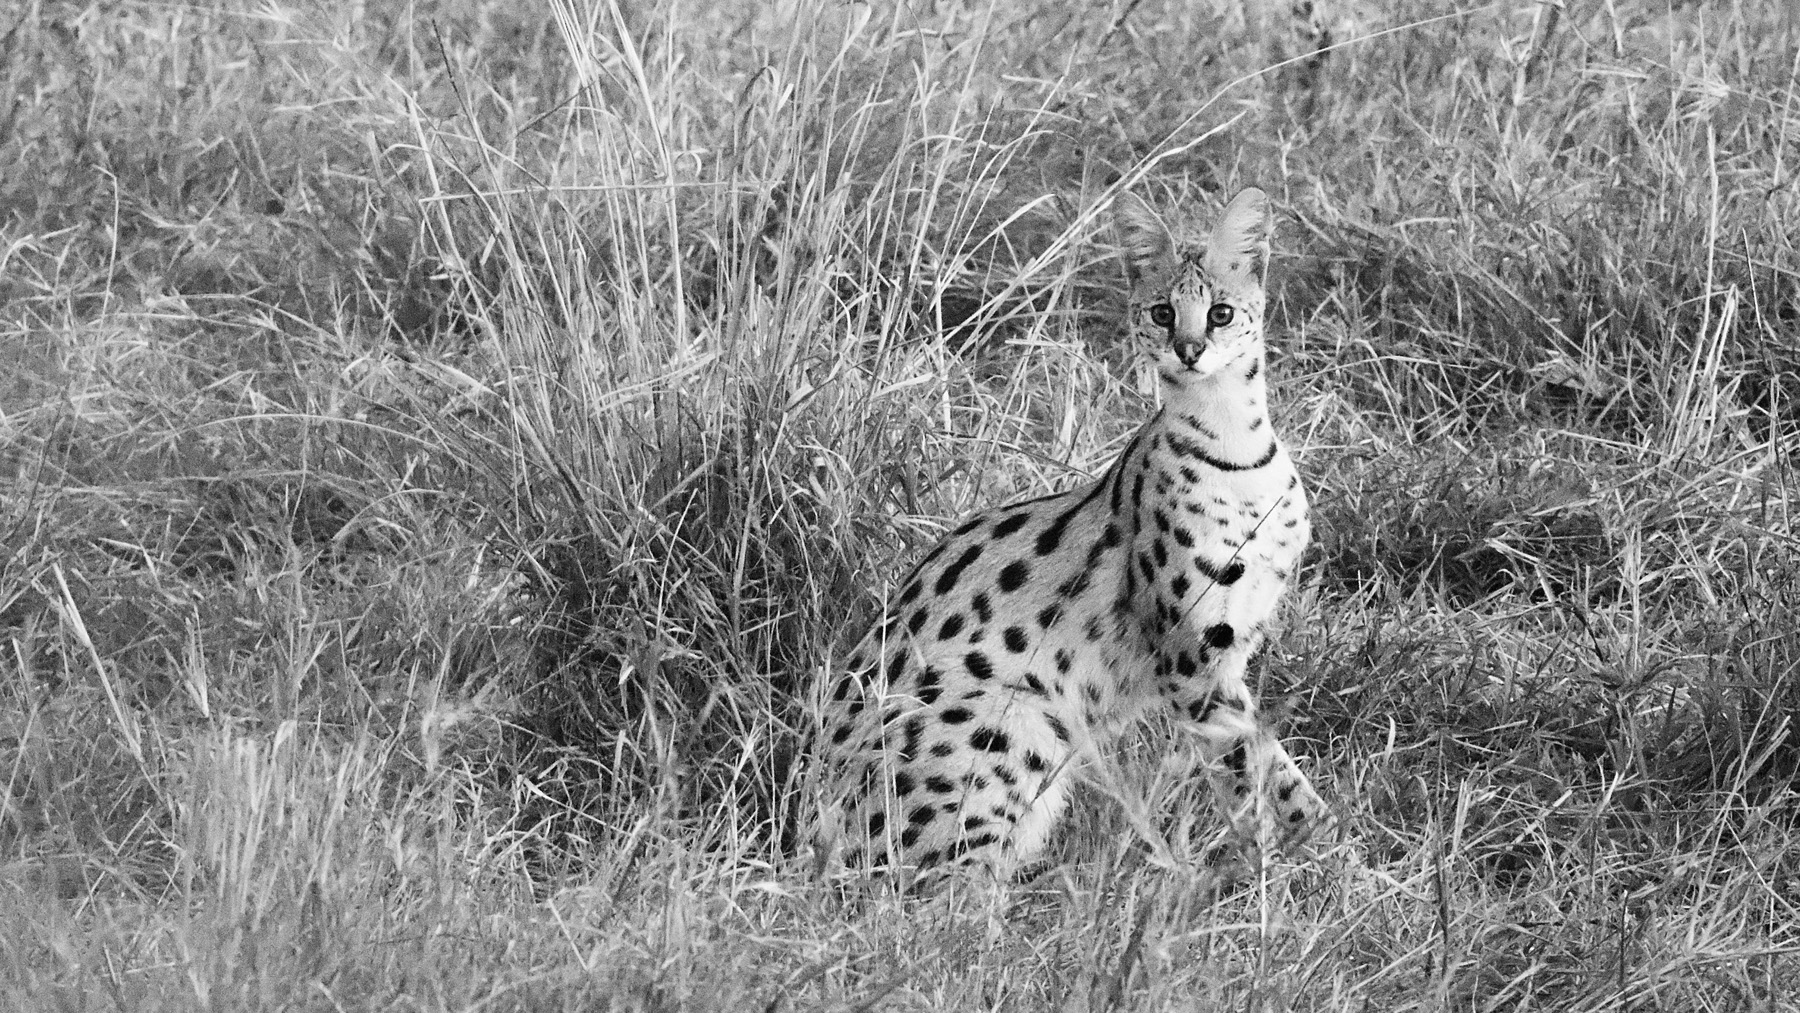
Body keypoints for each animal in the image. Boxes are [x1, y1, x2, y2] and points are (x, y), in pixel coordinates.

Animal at [803, 187, 1329, 879]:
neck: (1237, 453)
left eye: (1220, 313)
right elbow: (1246, 766)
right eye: (1162, 312)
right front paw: (1273, 869)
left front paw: (1330, 841)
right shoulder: (1192, 657)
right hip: (1009, 726)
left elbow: (1271, 756)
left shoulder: (1231, 645)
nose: (1189, 350)